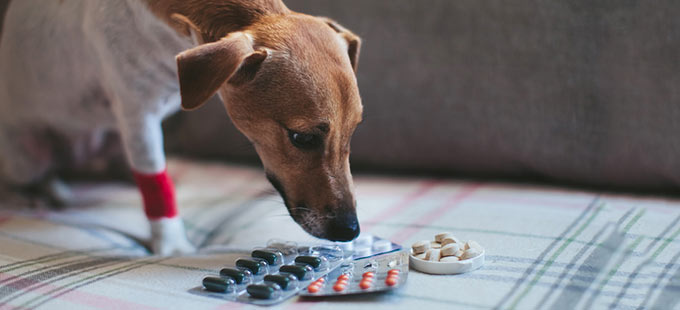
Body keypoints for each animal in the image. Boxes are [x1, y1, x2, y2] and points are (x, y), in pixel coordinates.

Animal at [0, 0, 362, 254]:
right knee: (32, 175)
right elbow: (155, 183)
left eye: (353, 131)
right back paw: (35, 193)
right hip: (27, 154)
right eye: (301, 137)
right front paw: (171, 245)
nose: (352, 232)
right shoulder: (139, 118)